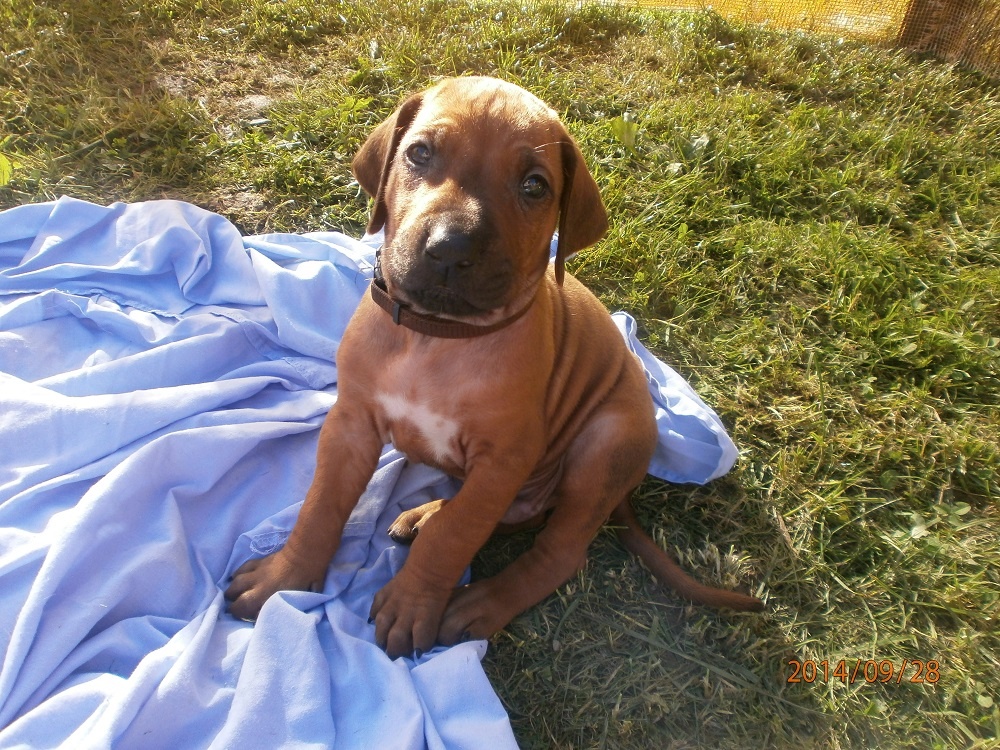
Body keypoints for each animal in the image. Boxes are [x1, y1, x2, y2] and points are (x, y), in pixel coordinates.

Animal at [223, 76, 760, 656]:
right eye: (419, 153)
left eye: (534, 186)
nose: (449, 249)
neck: (436, 336)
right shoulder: (351, 423)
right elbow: (322, 505)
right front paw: (283, 577)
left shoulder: (504, 458)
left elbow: (455, 535)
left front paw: (413, 604)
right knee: (507, 515)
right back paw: (425, 514)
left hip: (606, 444)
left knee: (554, 549)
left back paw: (479, 602)